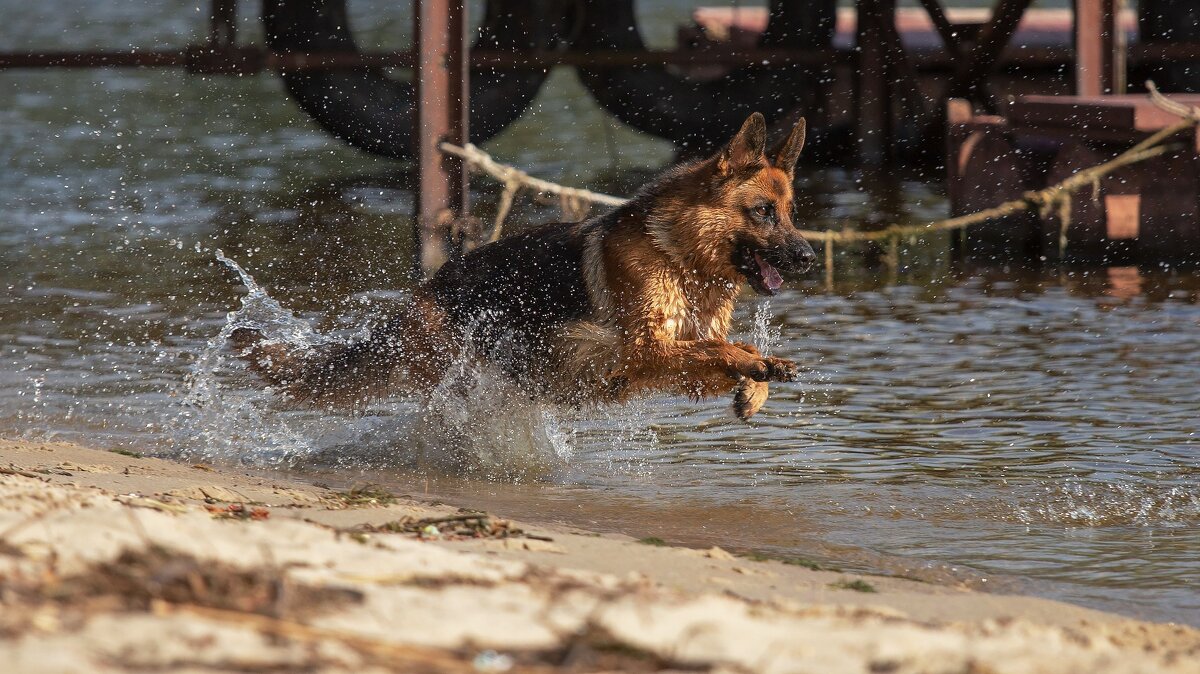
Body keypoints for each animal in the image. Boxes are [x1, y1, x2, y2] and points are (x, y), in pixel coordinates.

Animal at [234, 113, 816, 419]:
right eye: (764, 212)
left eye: (791, 213)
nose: (809, 258)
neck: (679, 256)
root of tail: (420, 295)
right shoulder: (646, 350)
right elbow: (725, 348)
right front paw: (756, 365)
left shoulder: (673, 359)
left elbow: (731, 351)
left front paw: (759, 381)